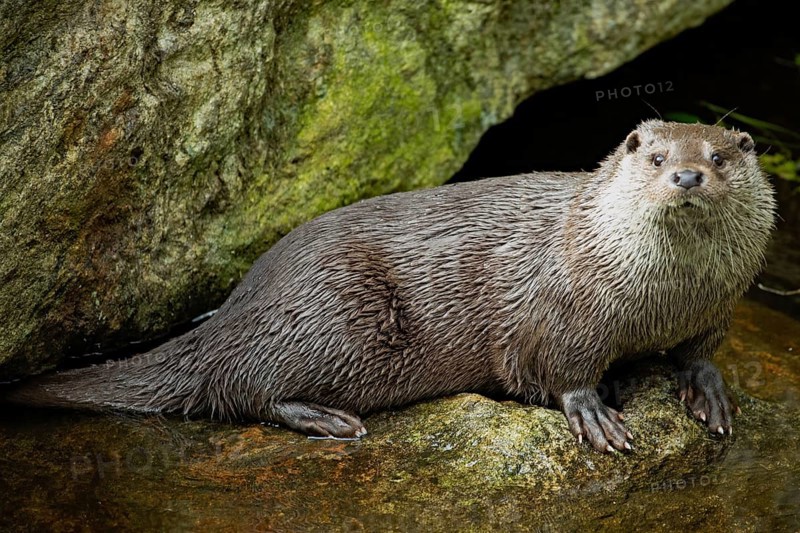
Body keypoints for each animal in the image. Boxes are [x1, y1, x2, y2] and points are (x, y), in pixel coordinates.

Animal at [7, 120, 775, 453]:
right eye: (655, 156)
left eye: (718, 155)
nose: (687, 175)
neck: (663, 301)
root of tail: (237, 311)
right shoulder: (561, 312)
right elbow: (553, 372)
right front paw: (594, 410)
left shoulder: (715, 308)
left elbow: (700, 352)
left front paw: (708, 389)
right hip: (335, 315)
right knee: (243, 387)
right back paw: (330, 421)